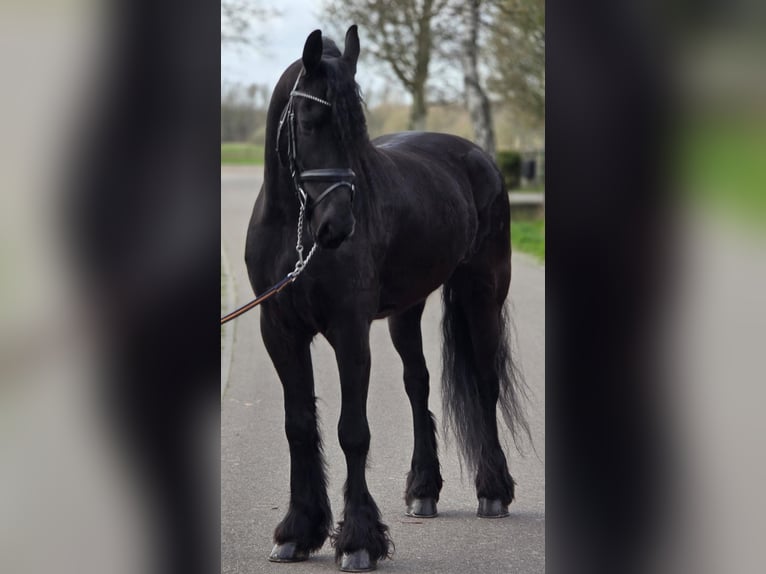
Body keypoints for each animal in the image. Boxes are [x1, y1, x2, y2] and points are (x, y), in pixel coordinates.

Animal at [244, 25, 529, 572]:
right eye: (308, 122)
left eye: (357, 130)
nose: (337, 226)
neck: (294, 231)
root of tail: (479, 157)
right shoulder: (279, 330)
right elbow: (299, 425)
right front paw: (297, 531)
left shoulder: (349, 329)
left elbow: (352, 430)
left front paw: (357, 540)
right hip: (406, 311)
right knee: (418, 384)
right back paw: (423, 491)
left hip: (482, 294)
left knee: (485, 384)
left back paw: (493, 490)